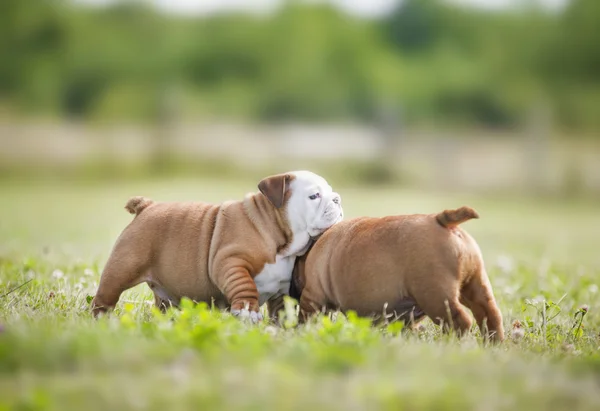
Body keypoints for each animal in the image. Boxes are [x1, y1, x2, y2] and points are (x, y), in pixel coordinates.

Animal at [89, 170, 342, 322]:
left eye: (331, 192)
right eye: (314, 196)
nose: (338, 198)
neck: (281, 239)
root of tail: (147, 206)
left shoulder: (281, 288)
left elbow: (278, 309)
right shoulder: (230, 262)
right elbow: (245, 285)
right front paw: (248, 312)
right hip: (122, 268)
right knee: (105, 297)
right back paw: (100, 319)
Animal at [288, 208, 504, 342]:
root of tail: (442, 220)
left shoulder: (312, 298)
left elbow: (305, 317)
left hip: (435, 296)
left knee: (460, 321)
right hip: (474, 285)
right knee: (489, 314)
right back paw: (494, 344)